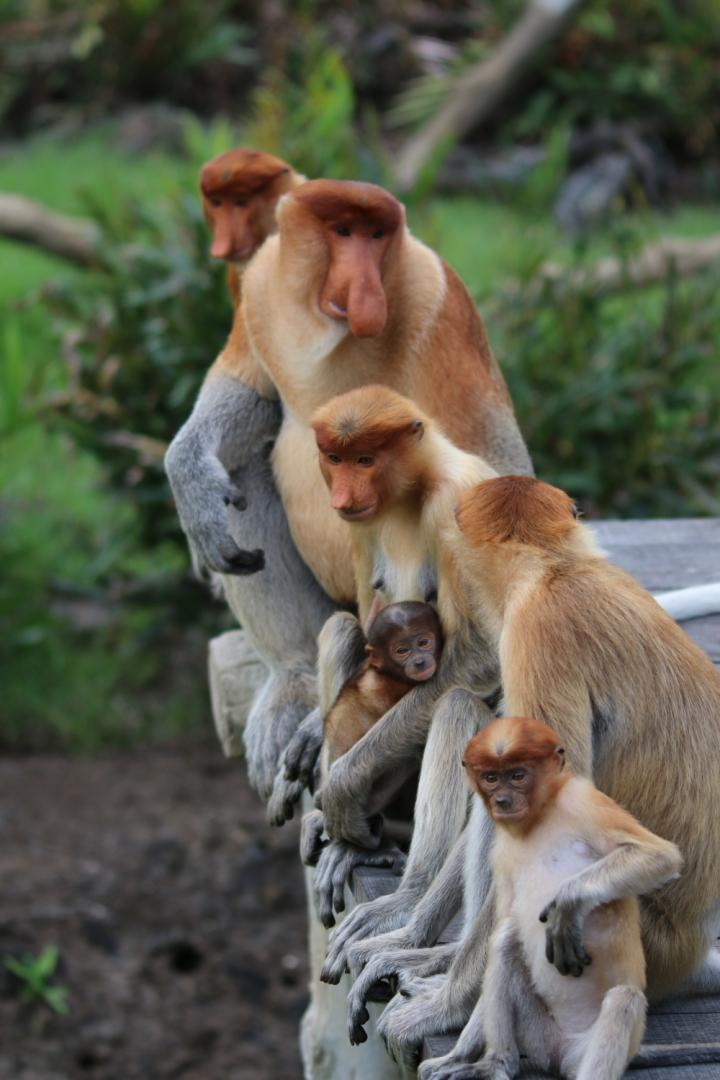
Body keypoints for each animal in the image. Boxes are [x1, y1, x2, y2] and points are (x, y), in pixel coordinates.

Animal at [416, 717, 682, 1080]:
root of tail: (564, 1051)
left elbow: (659, 855)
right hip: (540, 1033)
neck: (538, 818)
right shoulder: (501, 853)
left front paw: (567, 907)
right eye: (491, 777)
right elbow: (504, 925)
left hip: (590, 1047)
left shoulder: (583, 799)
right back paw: (495, 1063)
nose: (502, 801)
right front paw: (458, 1055)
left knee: (623, 1000)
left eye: (518, 775)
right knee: (505, 940)